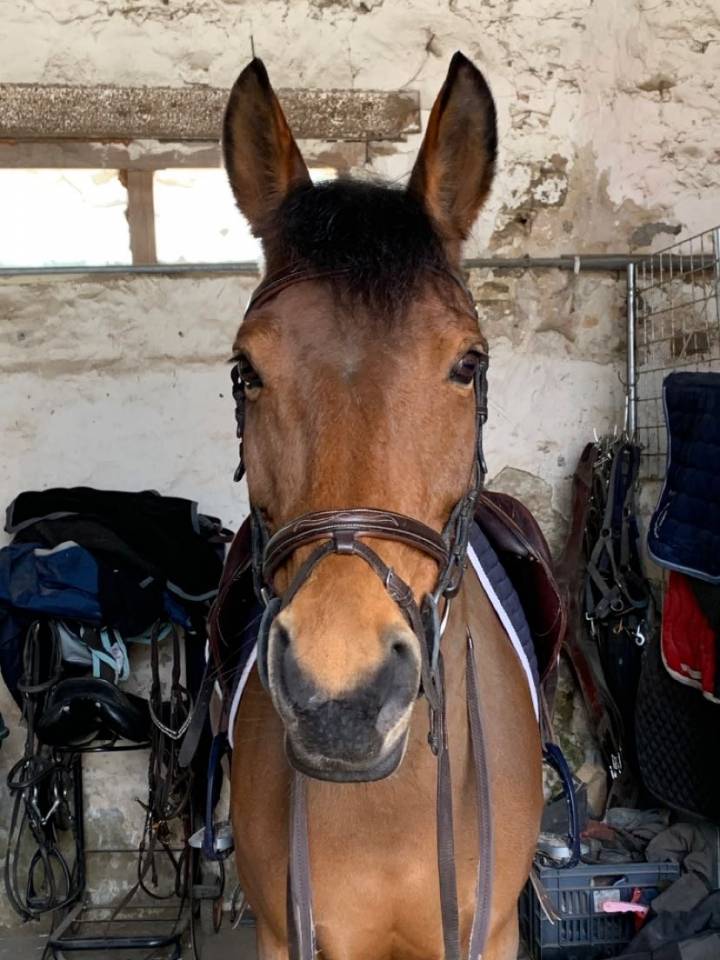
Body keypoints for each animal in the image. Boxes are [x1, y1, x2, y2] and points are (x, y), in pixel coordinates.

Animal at [221, 52, 543, 960]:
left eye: (468, 364)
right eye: (245, 371)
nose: (343, 700)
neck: (389, 809)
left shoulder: (490, 933)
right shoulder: (281, 935)